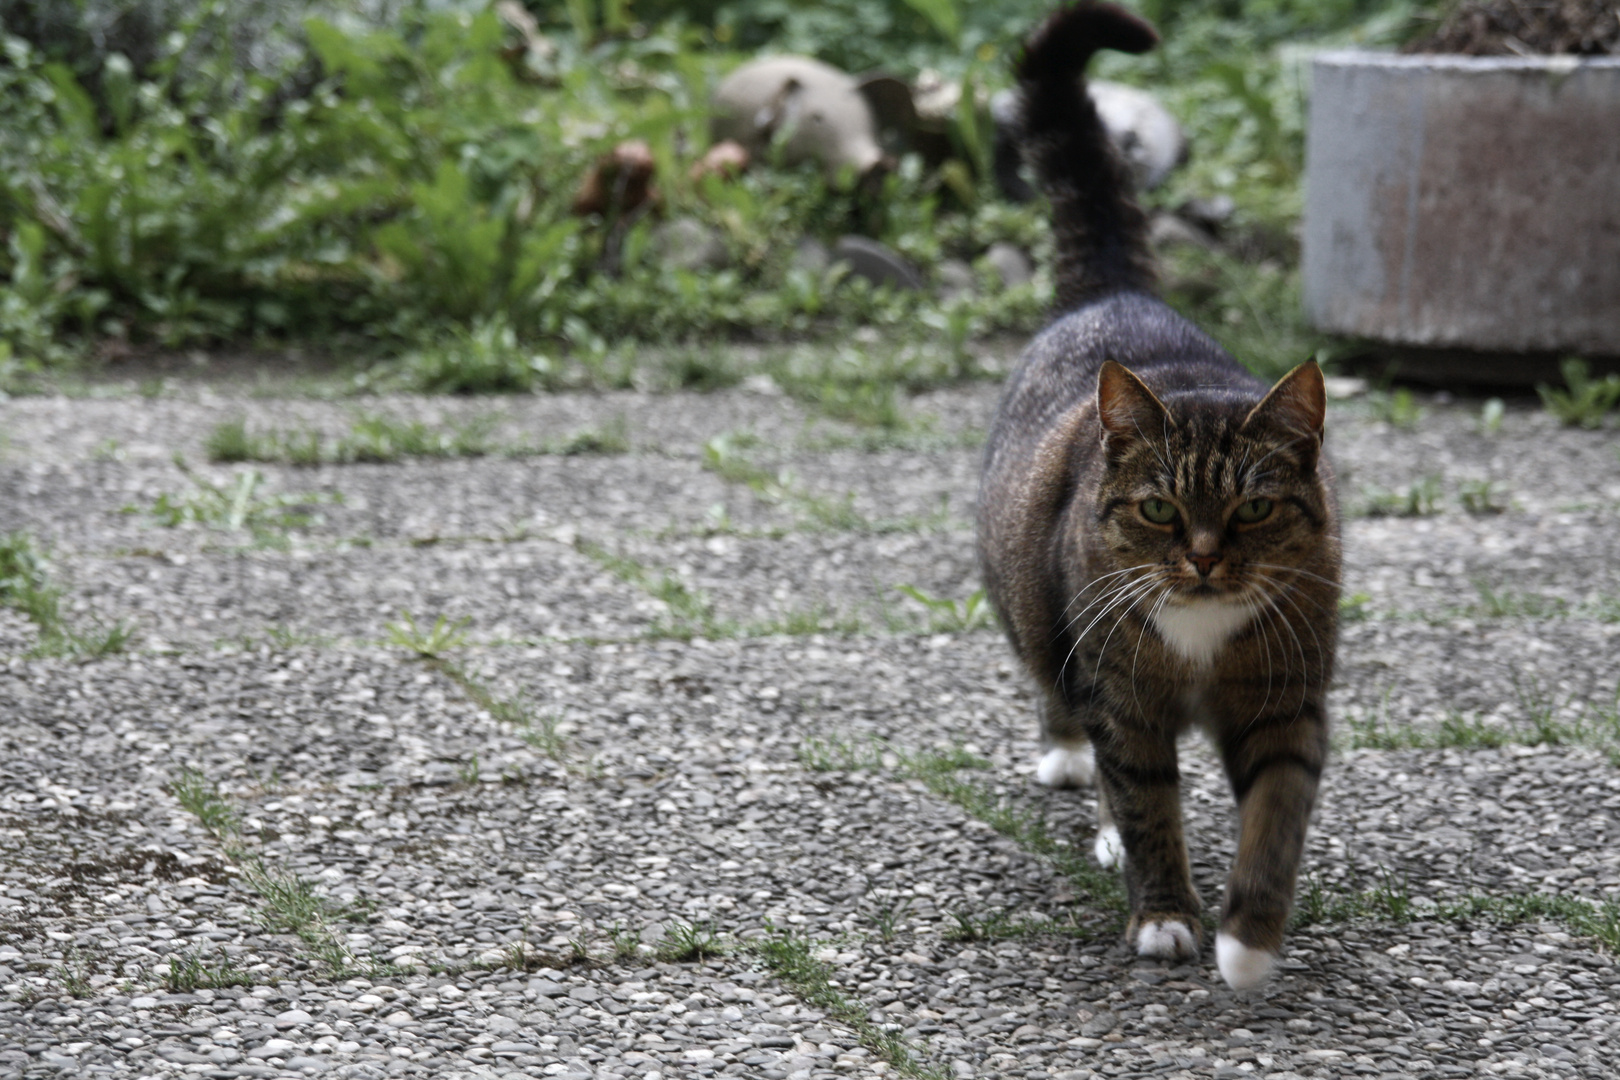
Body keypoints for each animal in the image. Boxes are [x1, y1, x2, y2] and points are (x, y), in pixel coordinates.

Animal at [972, 2, 1341, 997]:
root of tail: (1117, 291)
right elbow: (1146, 802)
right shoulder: (1124, 693)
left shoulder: (1285, 696)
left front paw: (1249, 941)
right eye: (1160, 512)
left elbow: (1278, 812)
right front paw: (1166, 915)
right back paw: (1071, 765)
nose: (1205, 560)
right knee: (1067, 705)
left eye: (1253, 511)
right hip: (1035, 605)